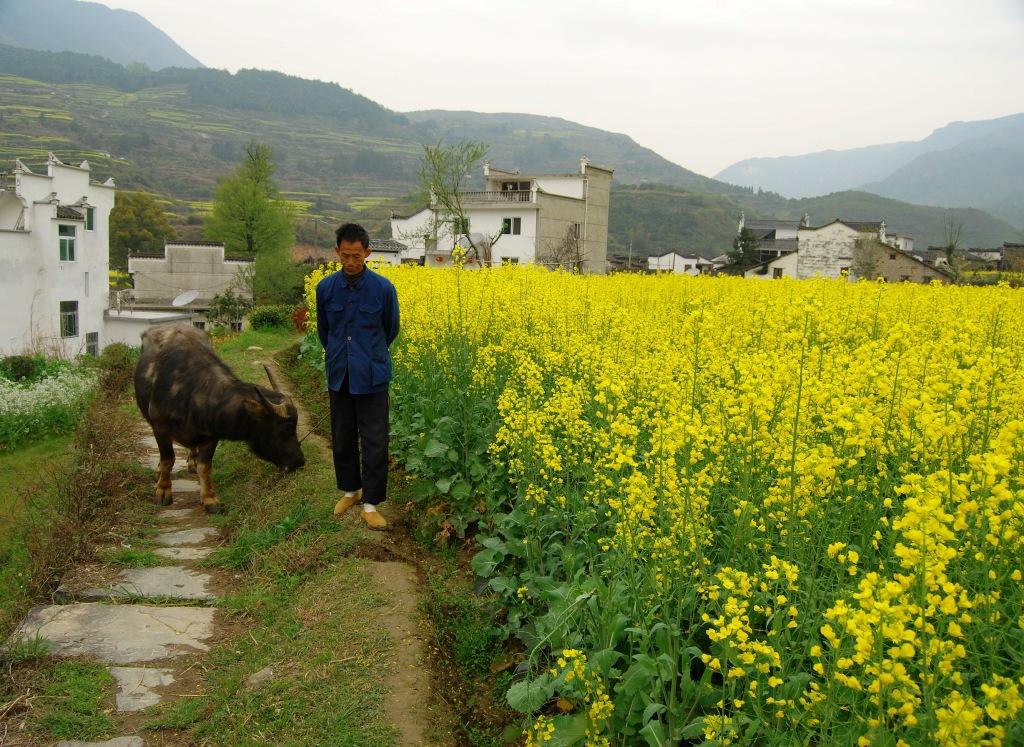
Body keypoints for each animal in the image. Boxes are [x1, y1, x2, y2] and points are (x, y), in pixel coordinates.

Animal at [130, 323, 303, 510]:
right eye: (287, 428)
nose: (300, 461)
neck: (192, 393)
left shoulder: (211, 434)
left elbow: (205, 466)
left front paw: (209, 499)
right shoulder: (160, 427)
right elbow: (168, 459)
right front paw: (163, 491)